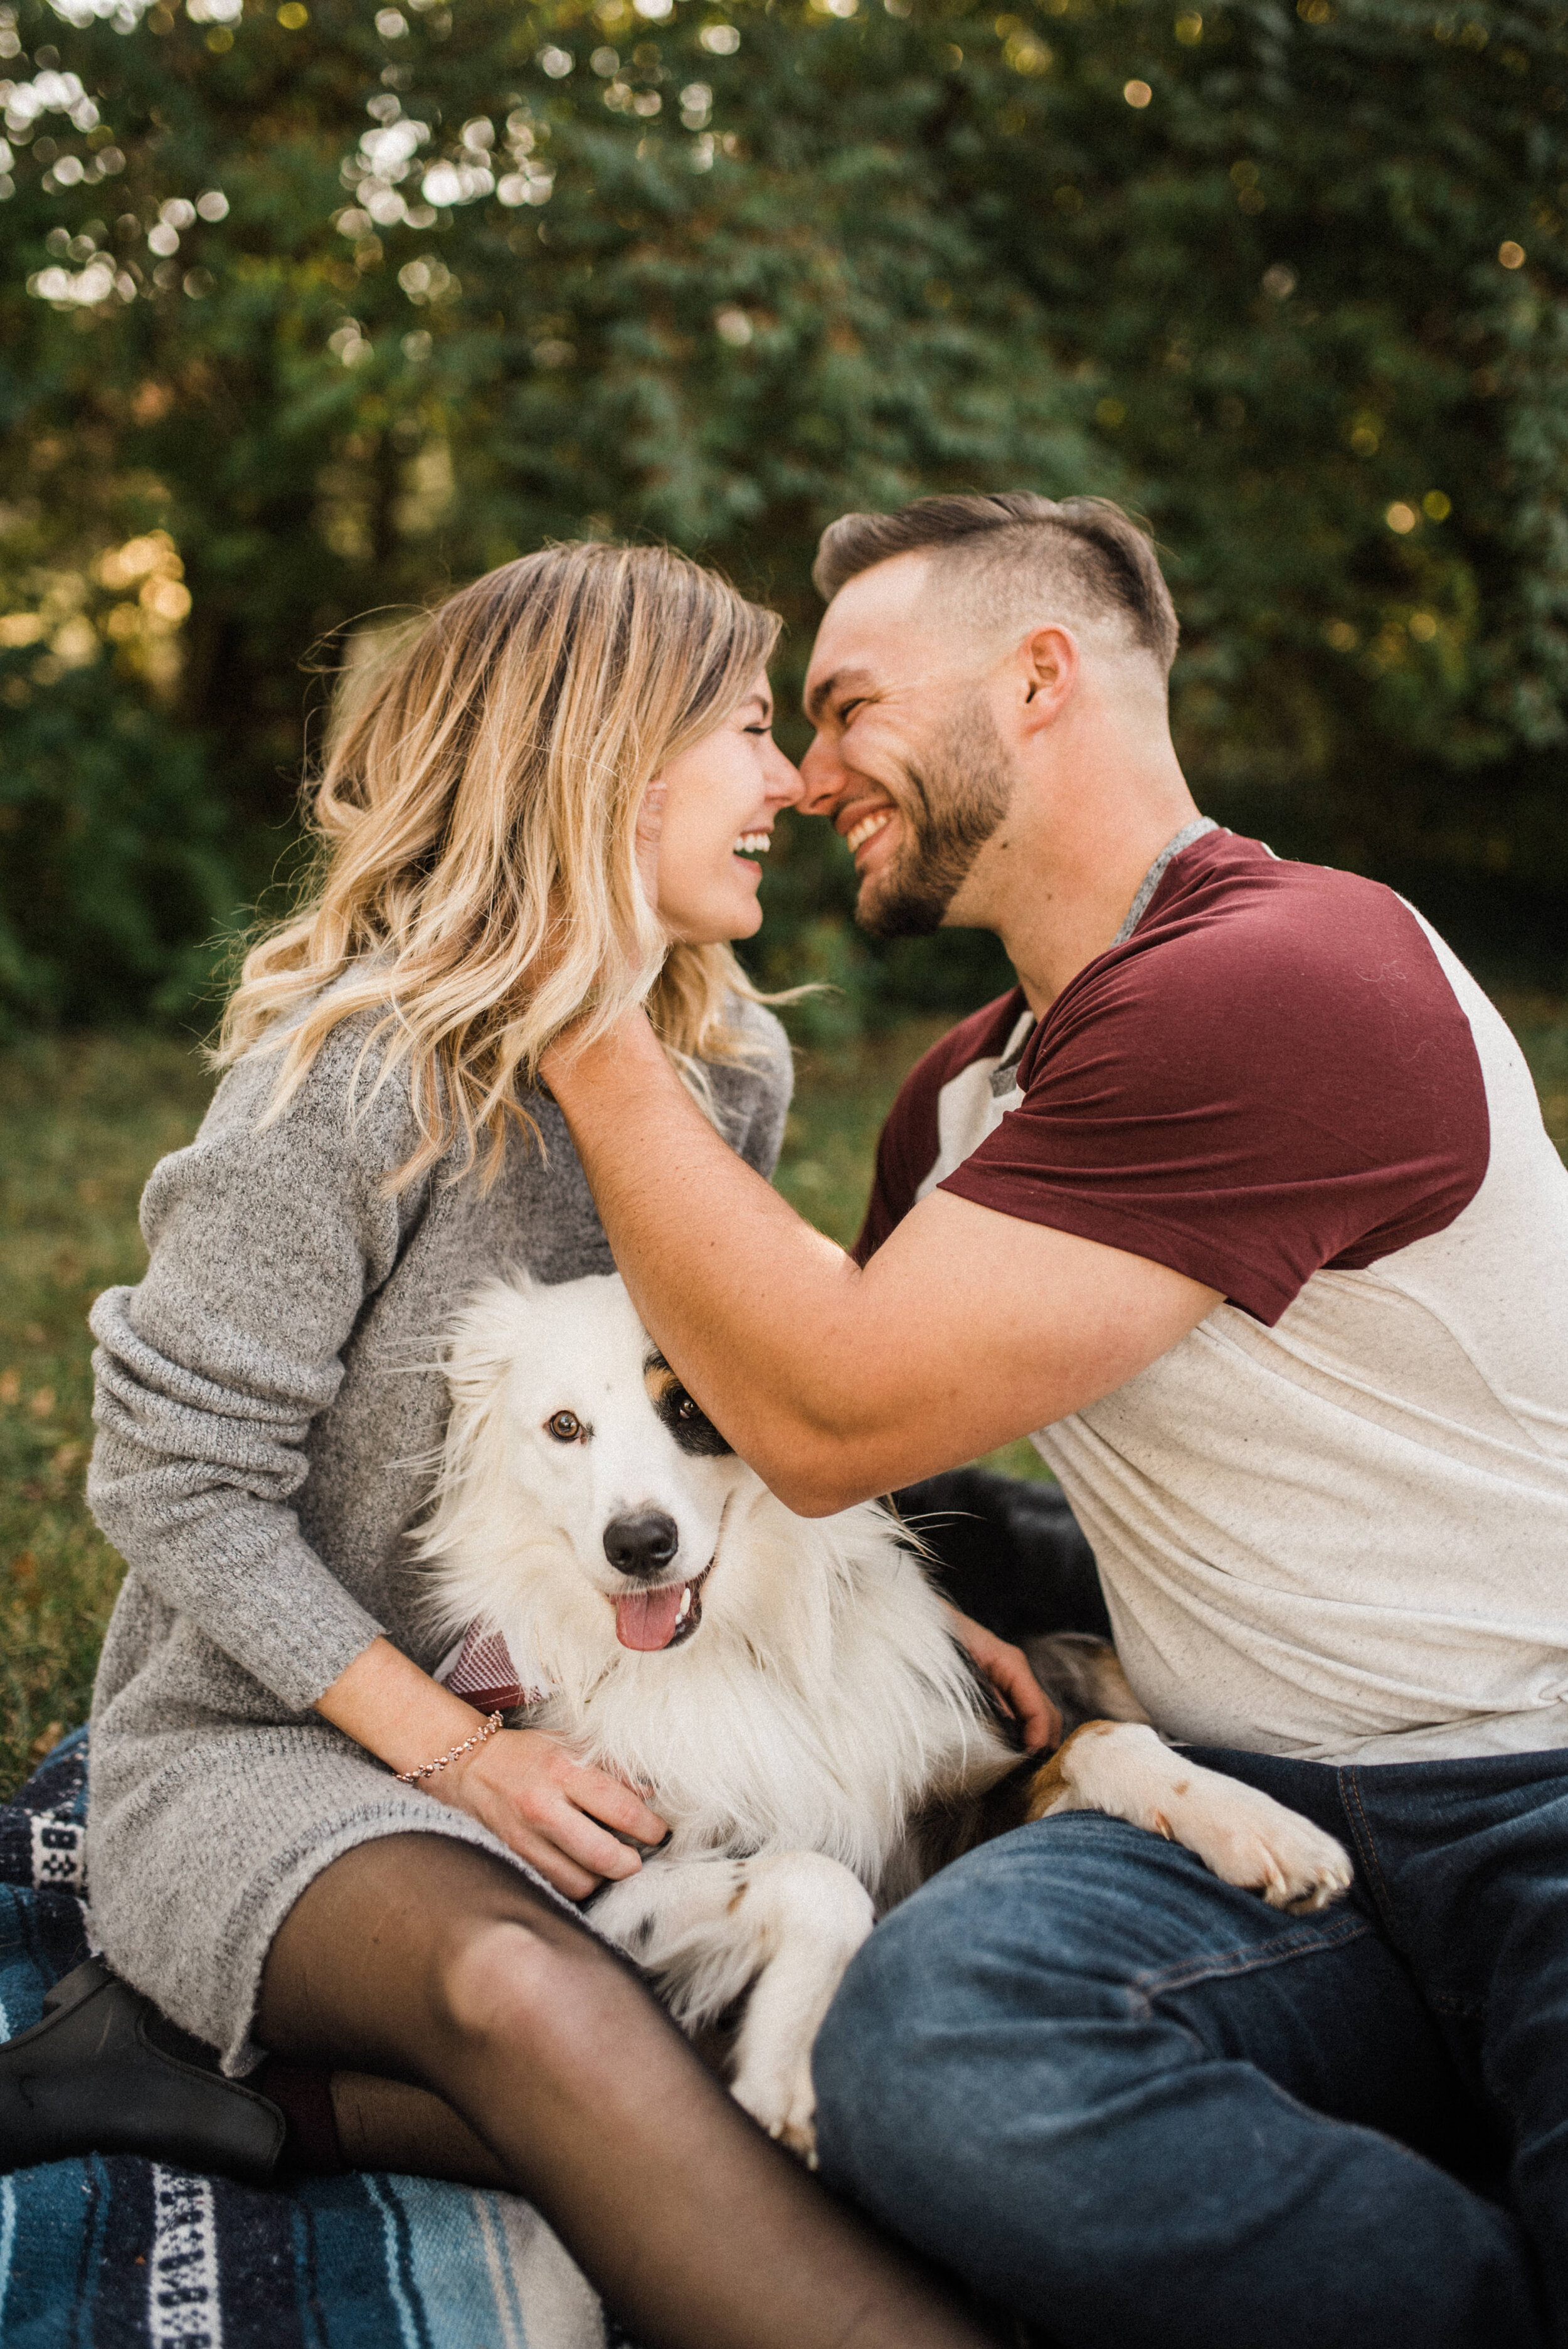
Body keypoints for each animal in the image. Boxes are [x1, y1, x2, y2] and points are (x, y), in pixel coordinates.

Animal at [413, 1278, 1352, 2151]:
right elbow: (817, 1875)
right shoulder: (600, 1872)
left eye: (690, 1406)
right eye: (565, 1427)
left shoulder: (948, 1801)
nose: (640, 1545)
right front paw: (786, 2061)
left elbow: (1100, 1736)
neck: (740, 1646)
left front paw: (1262, 1828)